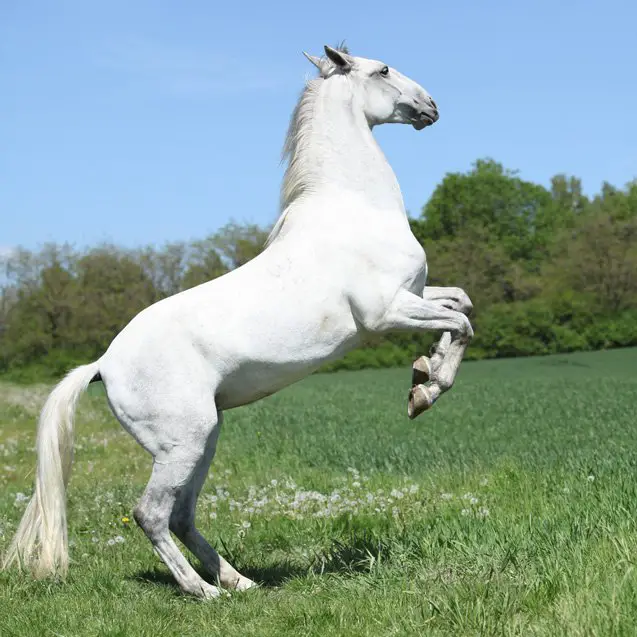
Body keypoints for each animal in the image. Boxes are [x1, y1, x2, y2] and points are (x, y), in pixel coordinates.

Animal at [3, 44, 472, 596]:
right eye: (381, 70)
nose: (430, 107)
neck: (355, 210)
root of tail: (102, 364)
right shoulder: (386, 312)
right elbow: (461, 323)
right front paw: (425, 390)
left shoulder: (413, 295)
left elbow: (460, 304)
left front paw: (422, 375)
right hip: (183, 443)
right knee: (151, 514)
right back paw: (202, 591)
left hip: (205, 439)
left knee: (182, 516)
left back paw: (239, 582)